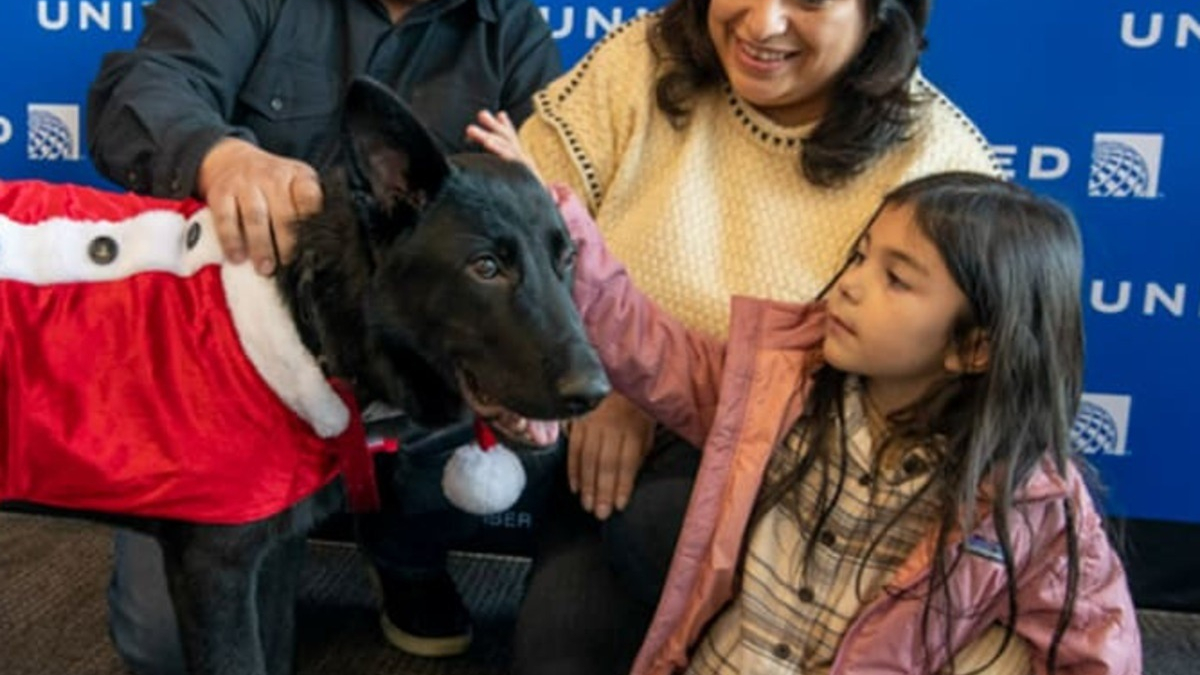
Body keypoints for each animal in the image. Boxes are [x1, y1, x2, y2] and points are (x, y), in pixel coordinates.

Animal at [2, 79, 609, 672]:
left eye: (568, 259)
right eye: (486, 267)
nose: (596, 393)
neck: (310, 316)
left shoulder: (273, 552)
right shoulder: (217, 569)